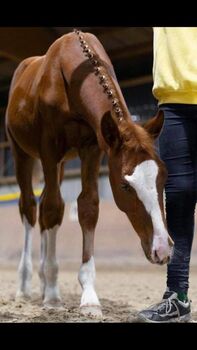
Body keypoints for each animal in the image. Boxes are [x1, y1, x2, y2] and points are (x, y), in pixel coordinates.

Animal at [5, 30, 172, 318]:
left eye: (163, 178)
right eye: (125, 186)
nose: (162, 250)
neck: (70, 72)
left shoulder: (92, 147)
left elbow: (87, 207)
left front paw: (89, 298)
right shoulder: (49, 148)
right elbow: (52, 209)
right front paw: (52, 296)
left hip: (60, 164)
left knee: (47, 206)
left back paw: (42, 280)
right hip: (22, 154)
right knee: (30, 208)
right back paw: (26, 287)